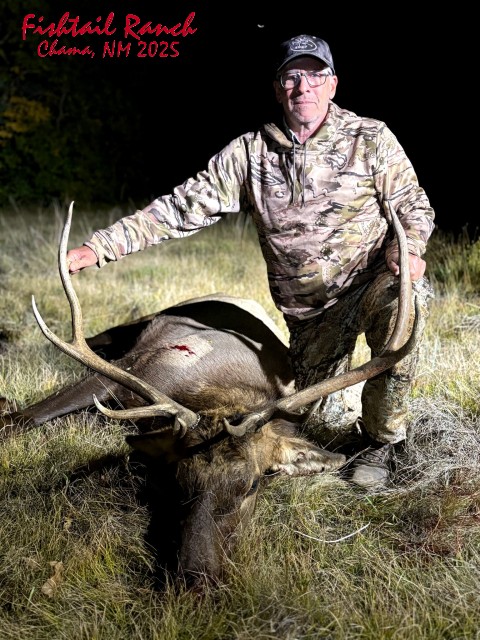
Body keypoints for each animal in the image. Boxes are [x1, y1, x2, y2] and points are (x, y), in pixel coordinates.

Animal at [1, 202, 419, 588]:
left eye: (254, 484)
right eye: (176, 477)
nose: (196, 578)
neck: (222, 393)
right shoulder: (133, 370)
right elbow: (26, 418)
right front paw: (10, 411)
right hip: (138, 329)